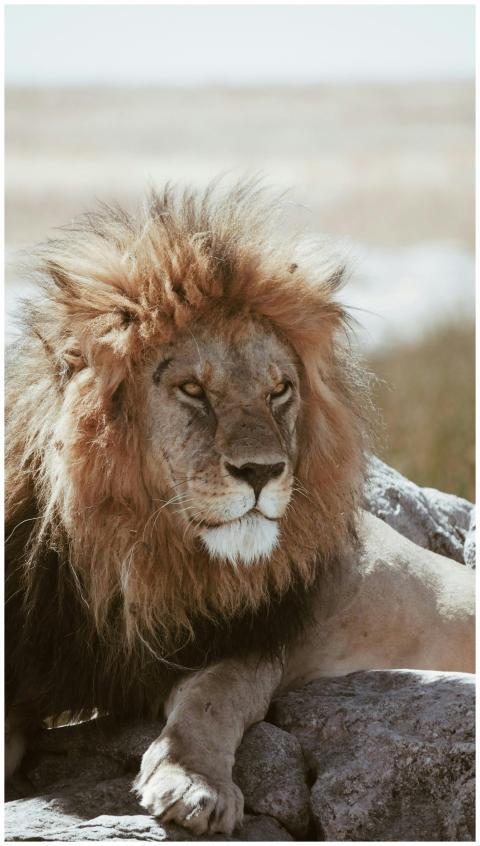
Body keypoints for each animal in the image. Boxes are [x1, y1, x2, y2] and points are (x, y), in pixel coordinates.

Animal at [5, 181, 474, 835]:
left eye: (279, 391)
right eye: (193, 390)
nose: (262, 471)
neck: (135, 558)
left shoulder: (250, 640)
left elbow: (213, 698)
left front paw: (193, 784)